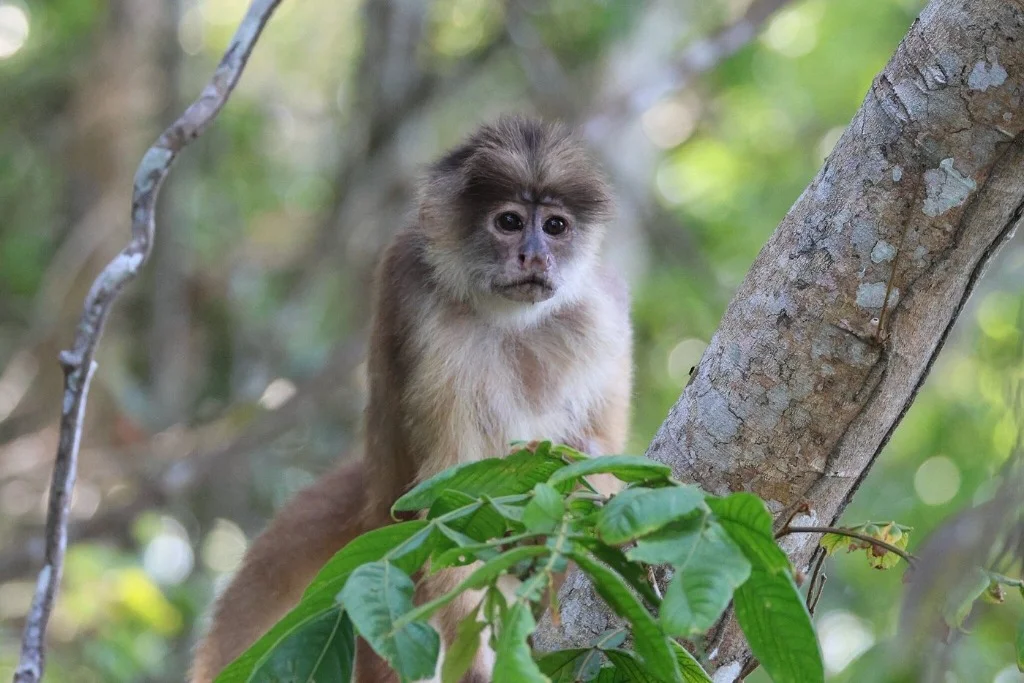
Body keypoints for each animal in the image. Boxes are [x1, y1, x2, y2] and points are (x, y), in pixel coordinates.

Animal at [190, 116, 633, 683]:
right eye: (510, 221)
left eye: (555, 226)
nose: (535, 254)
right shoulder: (424, 311)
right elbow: (448, 502)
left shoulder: (603, 310)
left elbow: (602, 449)